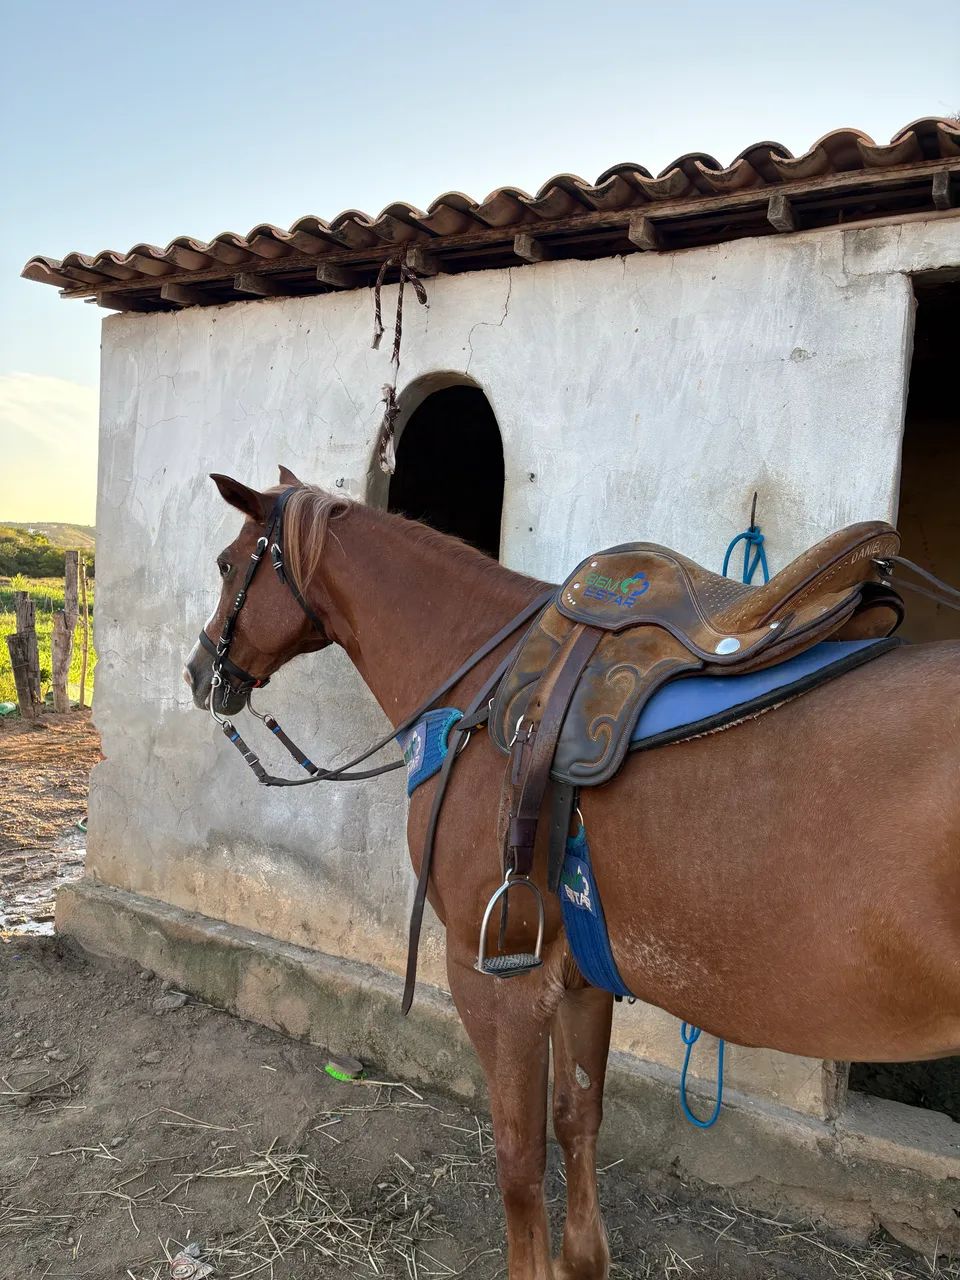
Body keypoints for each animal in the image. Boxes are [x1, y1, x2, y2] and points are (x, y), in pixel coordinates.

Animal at [184, 468, 960, 1280]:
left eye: (227, 564)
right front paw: (583, 1258)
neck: (477, 685)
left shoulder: (495, 978)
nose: (200, 671)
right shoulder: (580, 971)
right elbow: (577, 1119)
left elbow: (519, 1157)